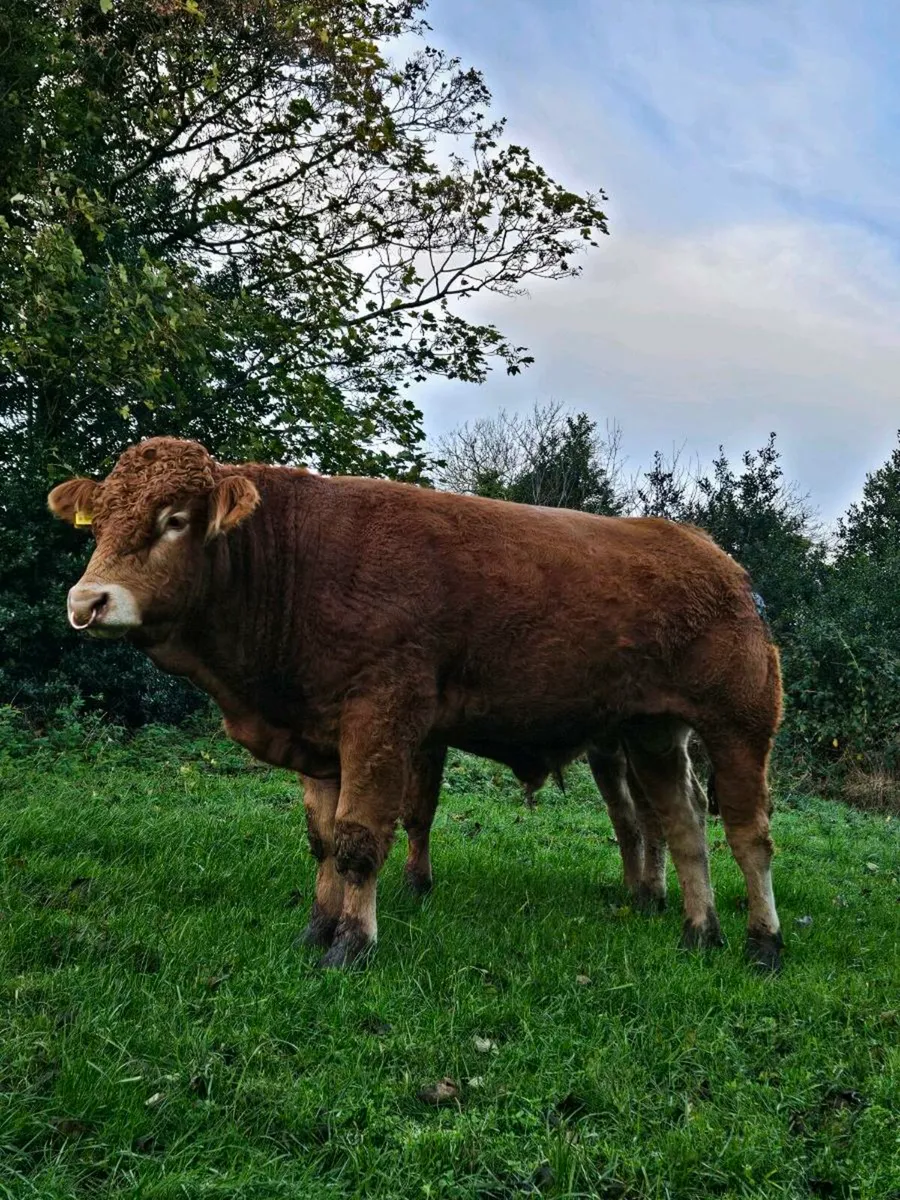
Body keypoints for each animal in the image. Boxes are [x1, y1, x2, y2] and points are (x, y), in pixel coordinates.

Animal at [49, 437, 784, 971]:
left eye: (174, 520)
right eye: (100, 522)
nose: (88, 601)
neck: (294, 563)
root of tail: (713, 557)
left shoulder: (382, 719)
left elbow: (360, 839)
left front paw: (353, 943)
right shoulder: (319, 739)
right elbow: (323, 840)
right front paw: (316, 930)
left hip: (739, 724)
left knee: (748, 836)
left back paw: (762, 943)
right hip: (651, 732)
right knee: (683, 827)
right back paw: (699, 931)